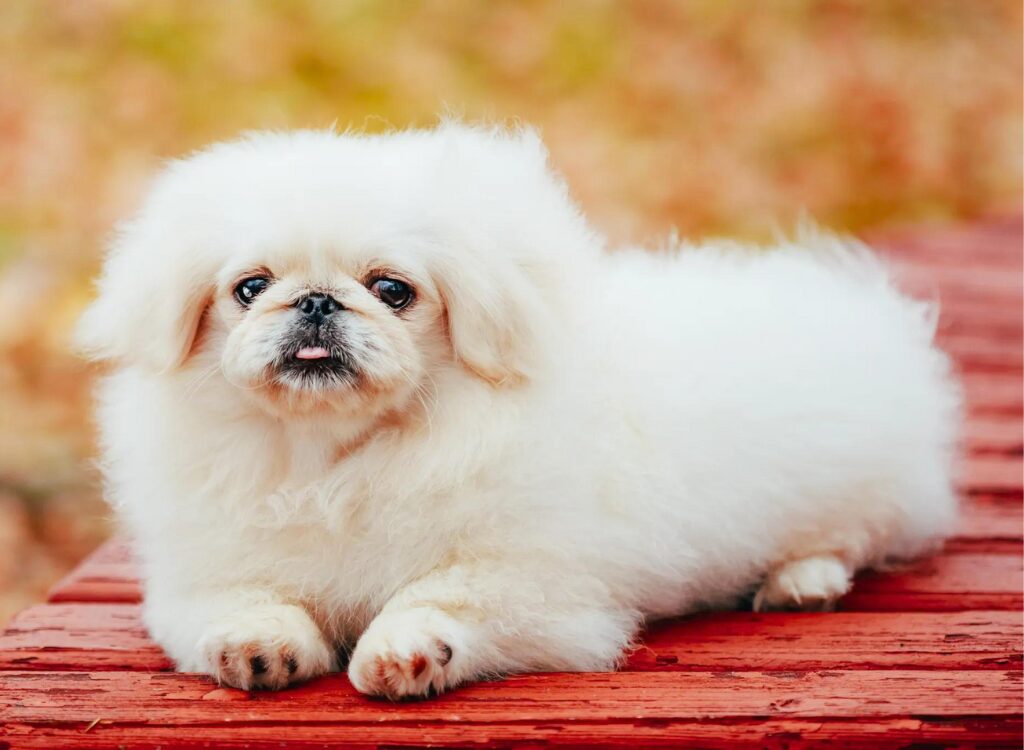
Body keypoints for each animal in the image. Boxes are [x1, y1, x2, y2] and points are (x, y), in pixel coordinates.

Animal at [77, 122, 958, 696]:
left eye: (392, 290)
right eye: (251, 287)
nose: (318, 301)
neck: (340, 459)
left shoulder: (538, 585)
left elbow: (440, 595)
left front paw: (406, 652)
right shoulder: (205, 574)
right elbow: (246, 603)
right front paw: (256, 646)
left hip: (861, 487)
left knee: (853, 537)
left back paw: (801, 581)